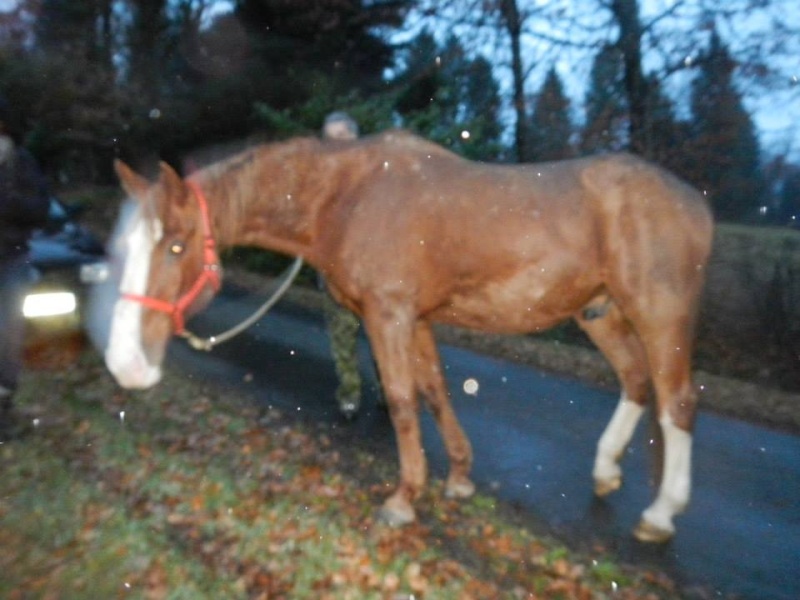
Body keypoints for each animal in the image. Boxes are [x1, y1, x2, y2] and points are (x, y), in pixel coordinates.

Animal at [104, 131, 712, 544]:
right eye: (128, 246)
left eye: (176, 246)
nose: (125, 363)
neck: (344, 198)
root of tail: (697, 204)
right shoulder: (417, 319)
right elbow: (434, 392)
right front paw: (460, 477)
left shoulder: (389, 315)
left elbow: (400, 400)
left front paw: (403, 498)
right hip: (598, 313)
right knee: (636, 382)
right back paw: (606, 472)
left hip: (660, 314)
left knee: (677, 402)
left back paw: (661, 514)